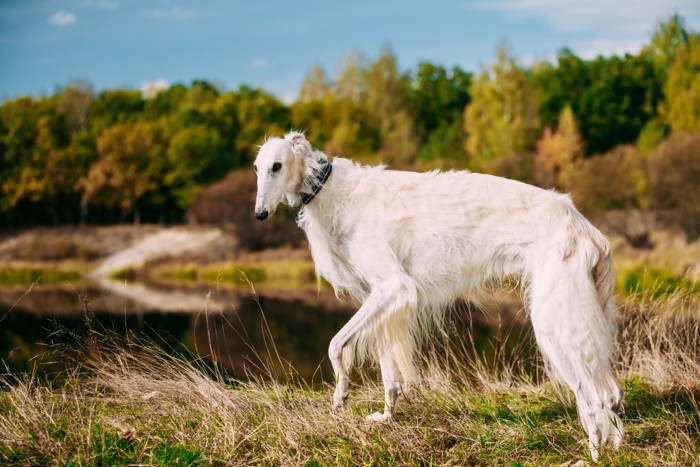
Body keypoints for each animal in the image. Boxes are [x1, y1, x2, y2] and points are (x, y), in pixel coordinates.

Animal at [256, 132, 624, 460]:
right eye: (257, 168)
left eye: (277, 165)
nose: (259, 214)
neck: (333, 191)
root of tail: (588, 228)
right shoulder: (380, 298)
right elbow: (389, 374)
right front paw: (386, 417)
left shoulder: (394, 286)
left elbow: (335, 344)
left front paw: (341, 393)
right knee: (611, 394)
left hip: (554, 321)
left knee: (598, 396)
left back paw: (593, 451)